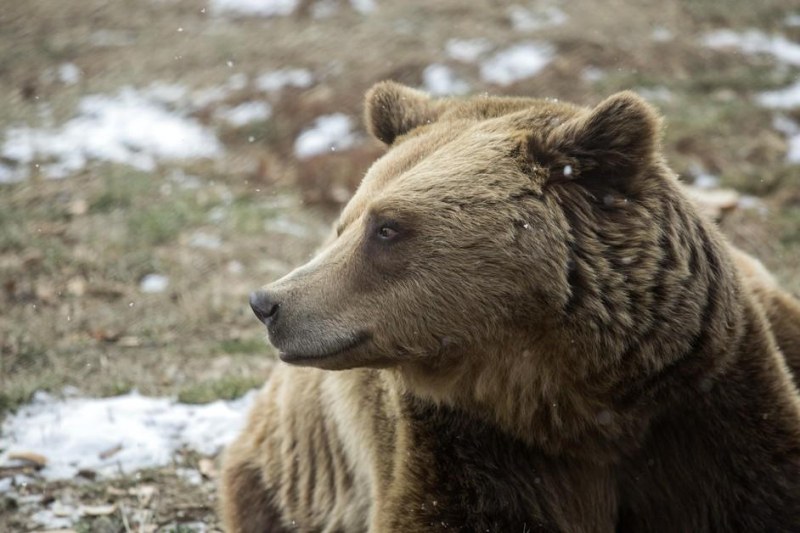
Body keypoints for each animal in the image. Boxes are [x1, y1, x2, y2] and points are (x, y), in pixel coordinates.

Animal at [219, 81, 800, 528]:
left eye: (386, 228)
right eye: (345, 224)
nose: (267, 303)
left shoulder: (701, 400)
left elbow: (760, 493)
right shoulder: (472, 448)